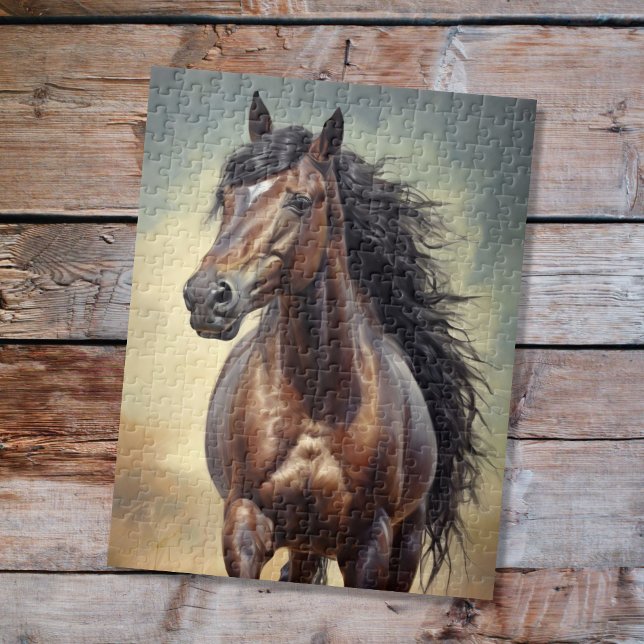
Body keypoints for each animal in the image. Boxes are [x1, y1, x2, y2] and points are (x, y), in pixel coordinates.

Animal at [183, 91, 482, 592]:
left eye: (301, 201)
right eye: (227, 198)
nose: (206, 295)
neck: (315, 401)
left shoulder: (369, 544)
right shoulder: (245, 523)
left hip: (405, 540)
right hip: (306, 542)